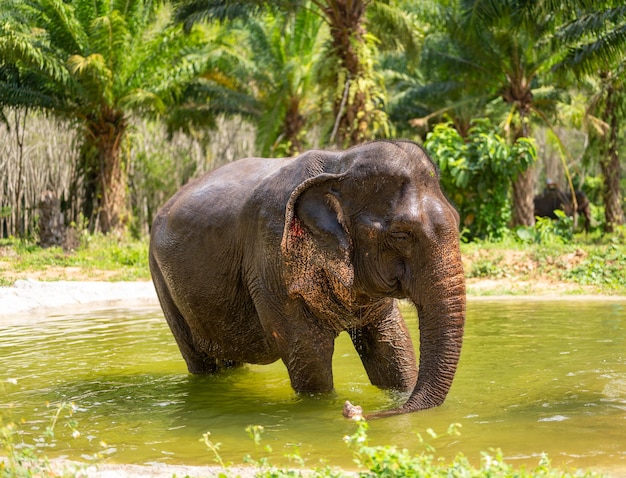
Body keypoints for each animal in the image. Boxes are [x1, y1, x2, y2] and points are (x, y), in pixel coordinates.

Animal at [149, 139, 466, 418]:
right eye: (401, 235)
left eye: (458, 219)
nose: (353, 411)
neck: (339, 165)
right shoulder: (270, 261)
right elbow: (310, 355)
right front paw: (321, 409)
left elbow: (391, 344)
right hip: (162, 281)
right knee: (201, 361)